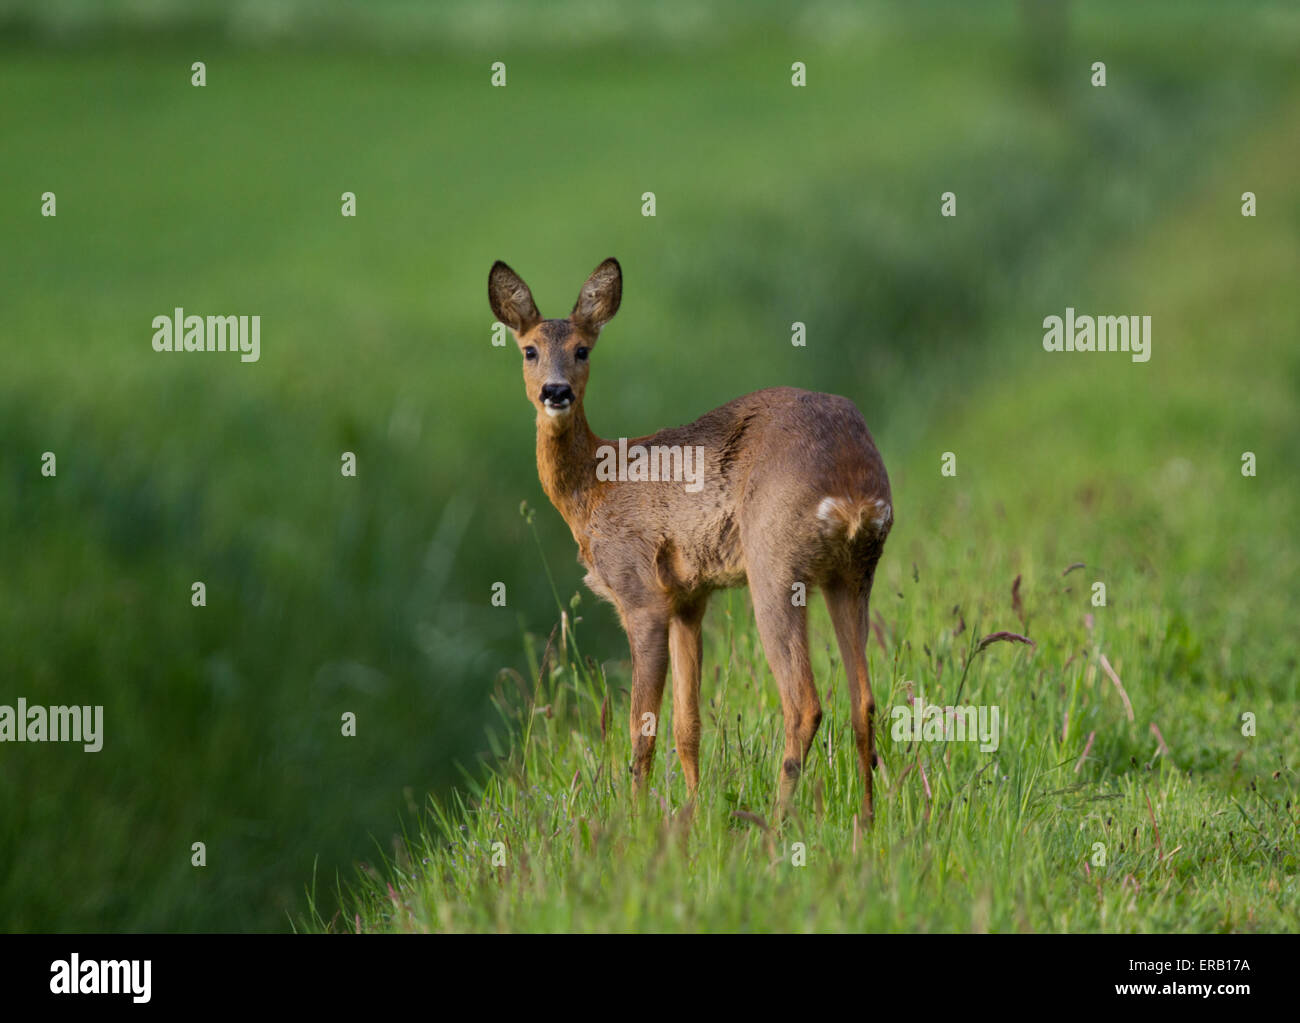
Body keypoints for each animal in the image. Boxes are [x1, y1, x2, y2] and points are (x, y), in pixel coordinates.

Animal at [489, 257, 893, 820]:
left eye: (582, 349)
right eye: (529, 349)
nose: (556, 392)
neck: (596, 485)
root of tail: (853, 487)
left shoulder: (640, 593)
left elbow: (641, 732)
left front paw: (636, 823)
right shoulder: (688, 598)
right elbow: (687, 726)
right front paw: (694, 813)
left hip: (776, 565)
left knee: (804, 704)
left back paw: (775, 824)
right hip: (853, 572)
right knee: (865, 701)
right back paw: (867, 822)